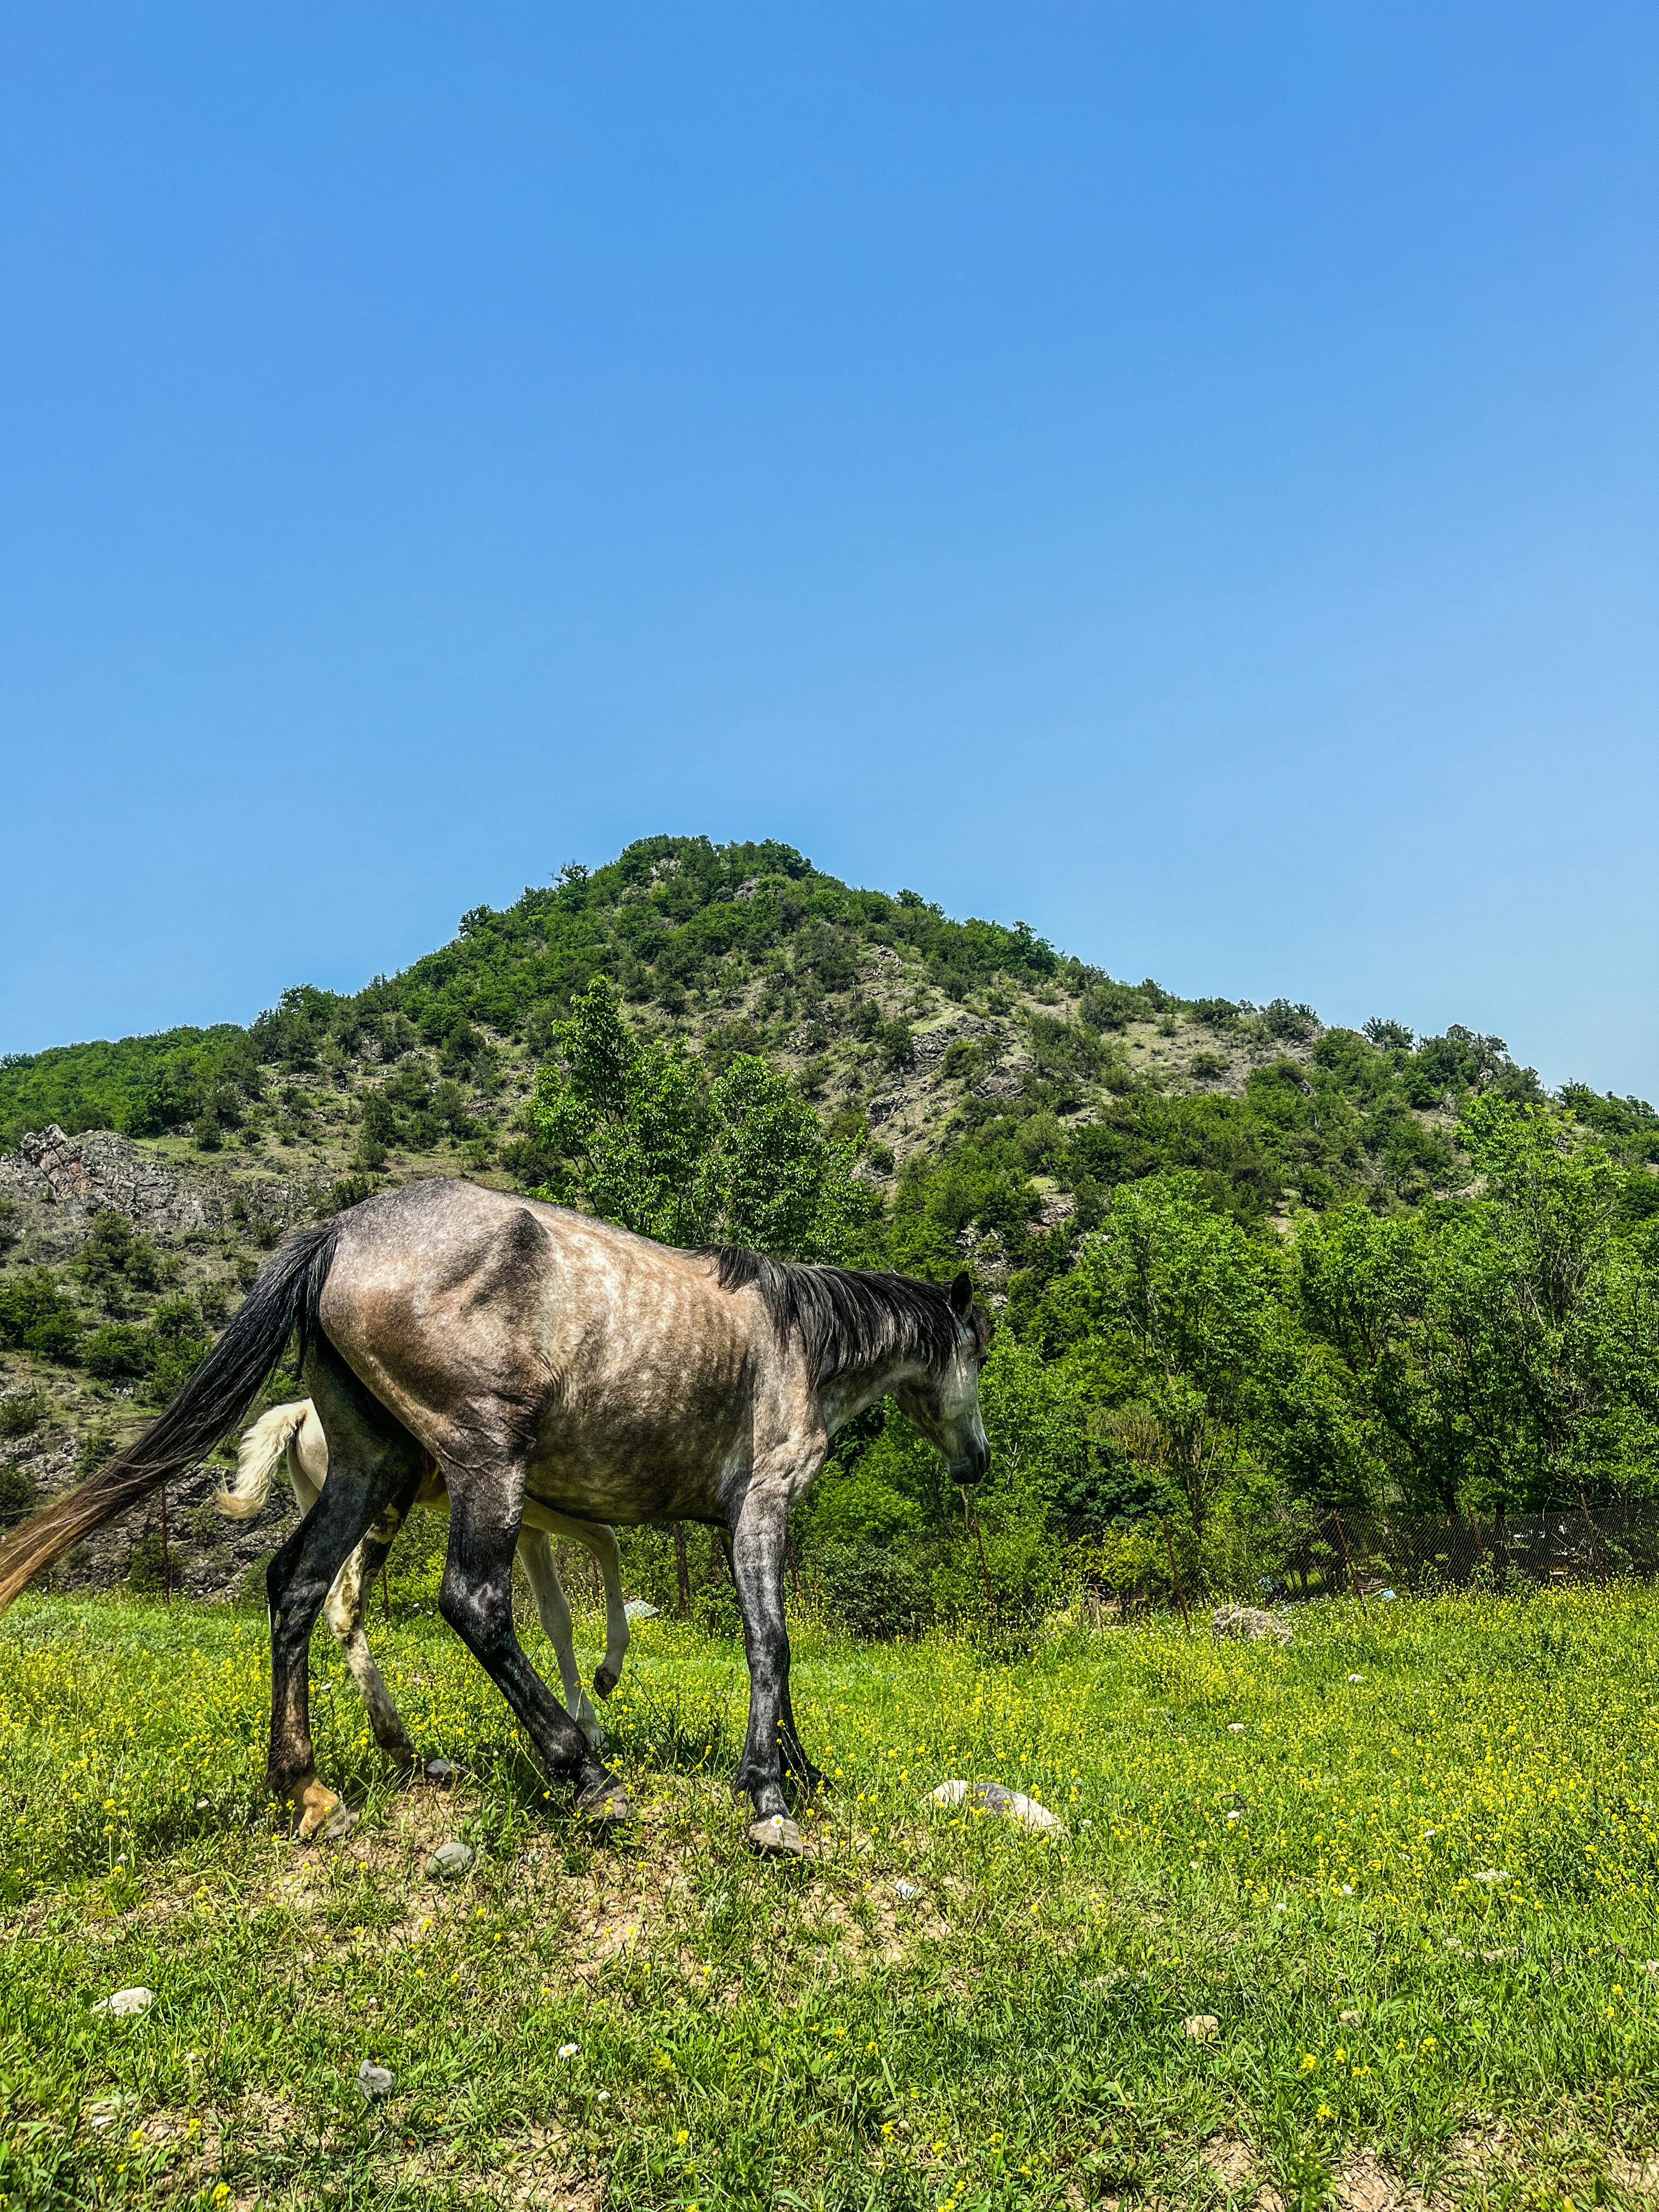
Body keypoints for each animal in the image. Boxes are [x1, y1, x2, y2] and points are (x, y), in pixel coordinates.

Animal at [222, 1398, 632, 1755]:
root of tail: (303, 1410)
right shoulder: (541, 1511)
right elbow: (607, 1541)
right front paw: (607, 1675)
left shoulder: (532, 1532)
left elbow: (557, 1616)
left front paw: (587, 1722)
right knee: (338, 1600)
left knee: (305, 1591)